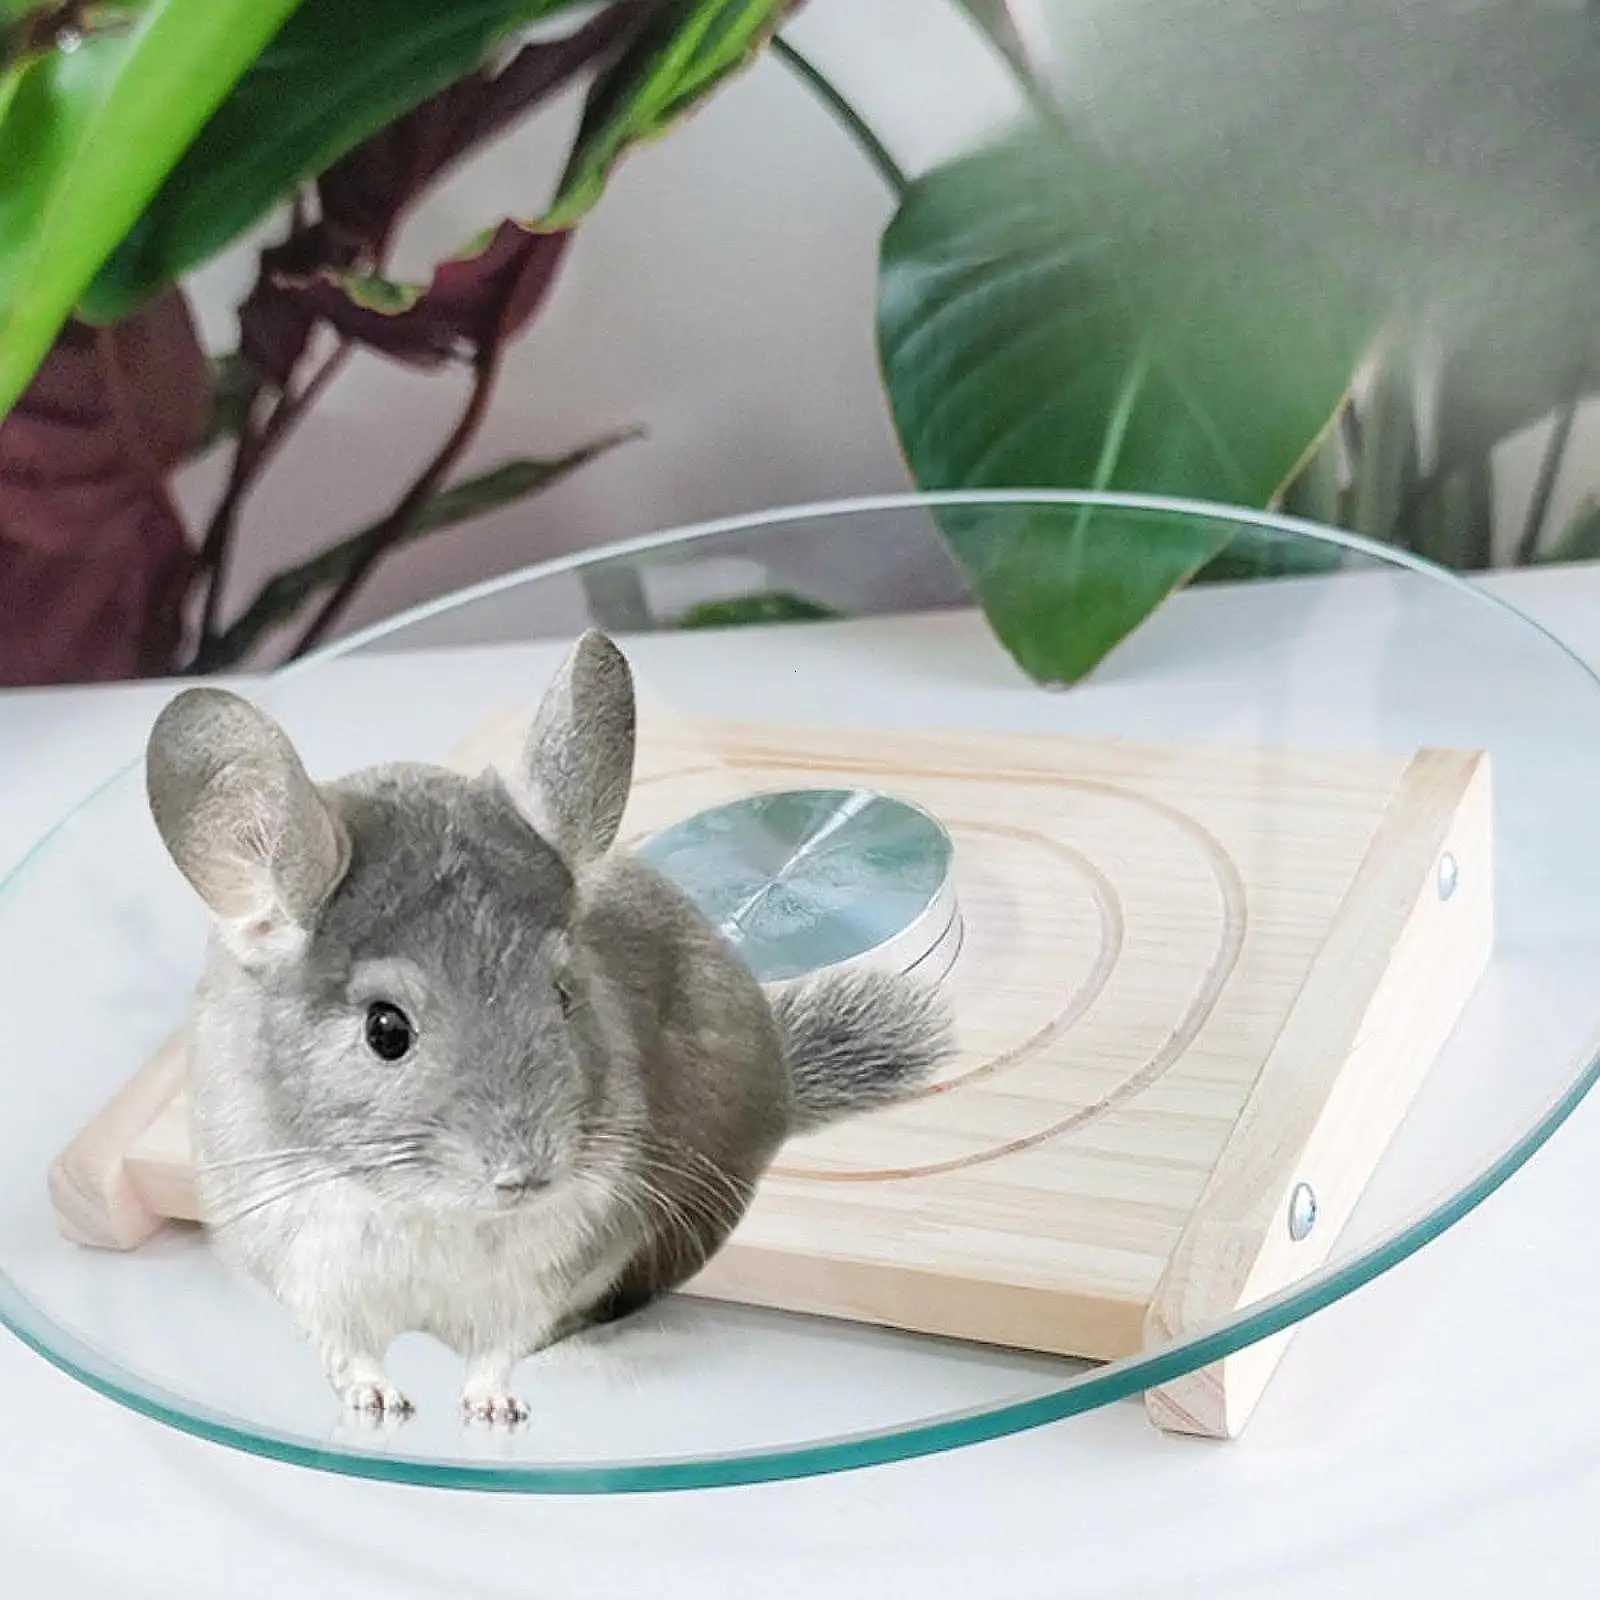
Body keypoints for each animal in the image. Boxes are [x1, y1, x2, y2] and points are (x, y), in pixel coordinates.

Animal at [146, 632, 950, 1421]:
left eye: (564, 995)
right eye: (385, 1031)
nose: (527, 1175)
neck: (429, 1207)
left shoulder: (561, 1264)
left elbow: (504, 1343)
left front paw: (493, 1408)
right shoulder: (301, 1261)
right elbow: (347, 1345)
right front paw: (376, 1402)